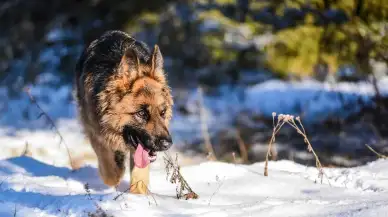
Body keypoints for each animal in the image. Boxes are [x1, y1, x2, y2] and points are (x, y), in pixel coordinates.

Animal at [74, 30, 173, 188]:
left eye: (162, 112)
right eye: (141, 113)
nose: (167, 144)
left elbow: (139, 177)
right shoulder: (95, 133)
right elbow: (110, 173)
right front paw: (117, 170)